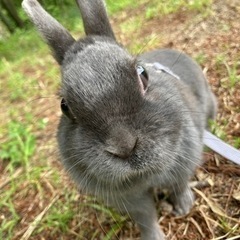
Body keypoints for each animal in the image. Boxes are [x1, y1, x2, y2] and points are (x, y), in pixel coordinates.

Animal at [22, 0, 218, 239]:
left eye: (142, 74)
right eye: (64, 106)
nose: (124, 146)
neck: (144, 176)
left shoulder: (184, 161)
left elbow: (179, 186)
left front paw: (184, 207)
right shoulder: (130, 200)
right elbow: (145, 217)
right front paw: (154, 236)